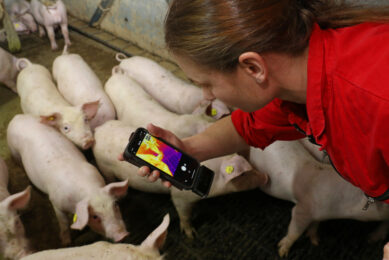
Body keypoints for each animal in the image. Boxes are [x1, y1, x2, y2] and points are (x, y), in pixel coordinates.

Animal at [6, 114, 130, 246]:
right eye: (95, 216)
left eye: (115, 205)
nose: (122, 235)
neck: (90, 190)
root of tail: (16, 117)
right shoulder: (56, 202)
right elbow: (64, 223)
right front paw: (66, 243)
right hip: (14, 152)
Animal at [92, 120, 268, 238]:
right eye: (243, 174)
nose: (266, 177)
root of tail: (98, 130)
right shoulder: (180, 197)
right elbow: (184, 213)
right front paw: (192, 235)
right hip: (104, 166)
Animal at [247, 141, 388, 256]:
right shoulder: (303, 208)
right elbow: (295, 229)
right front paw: (282, 251)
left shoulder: (320, 214)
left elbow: (315, 224)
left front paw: (315, 241)